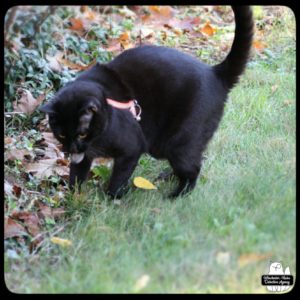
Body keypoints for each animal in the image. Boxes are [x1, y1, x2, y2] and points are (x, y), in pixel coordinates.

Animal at [39, 5, 254, 198]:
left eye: (82, 134)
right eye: (61, 134)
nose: (72, 148)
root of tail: (215, 73)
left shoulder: (131, 149)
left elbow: (118, 179)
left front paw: (112, 198)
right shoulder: (83, 158)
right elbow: (76, 176)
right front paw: (73, 198)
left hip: (177, 142)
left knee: (193, 169)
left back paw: (176, 196)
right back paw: (167, 178)